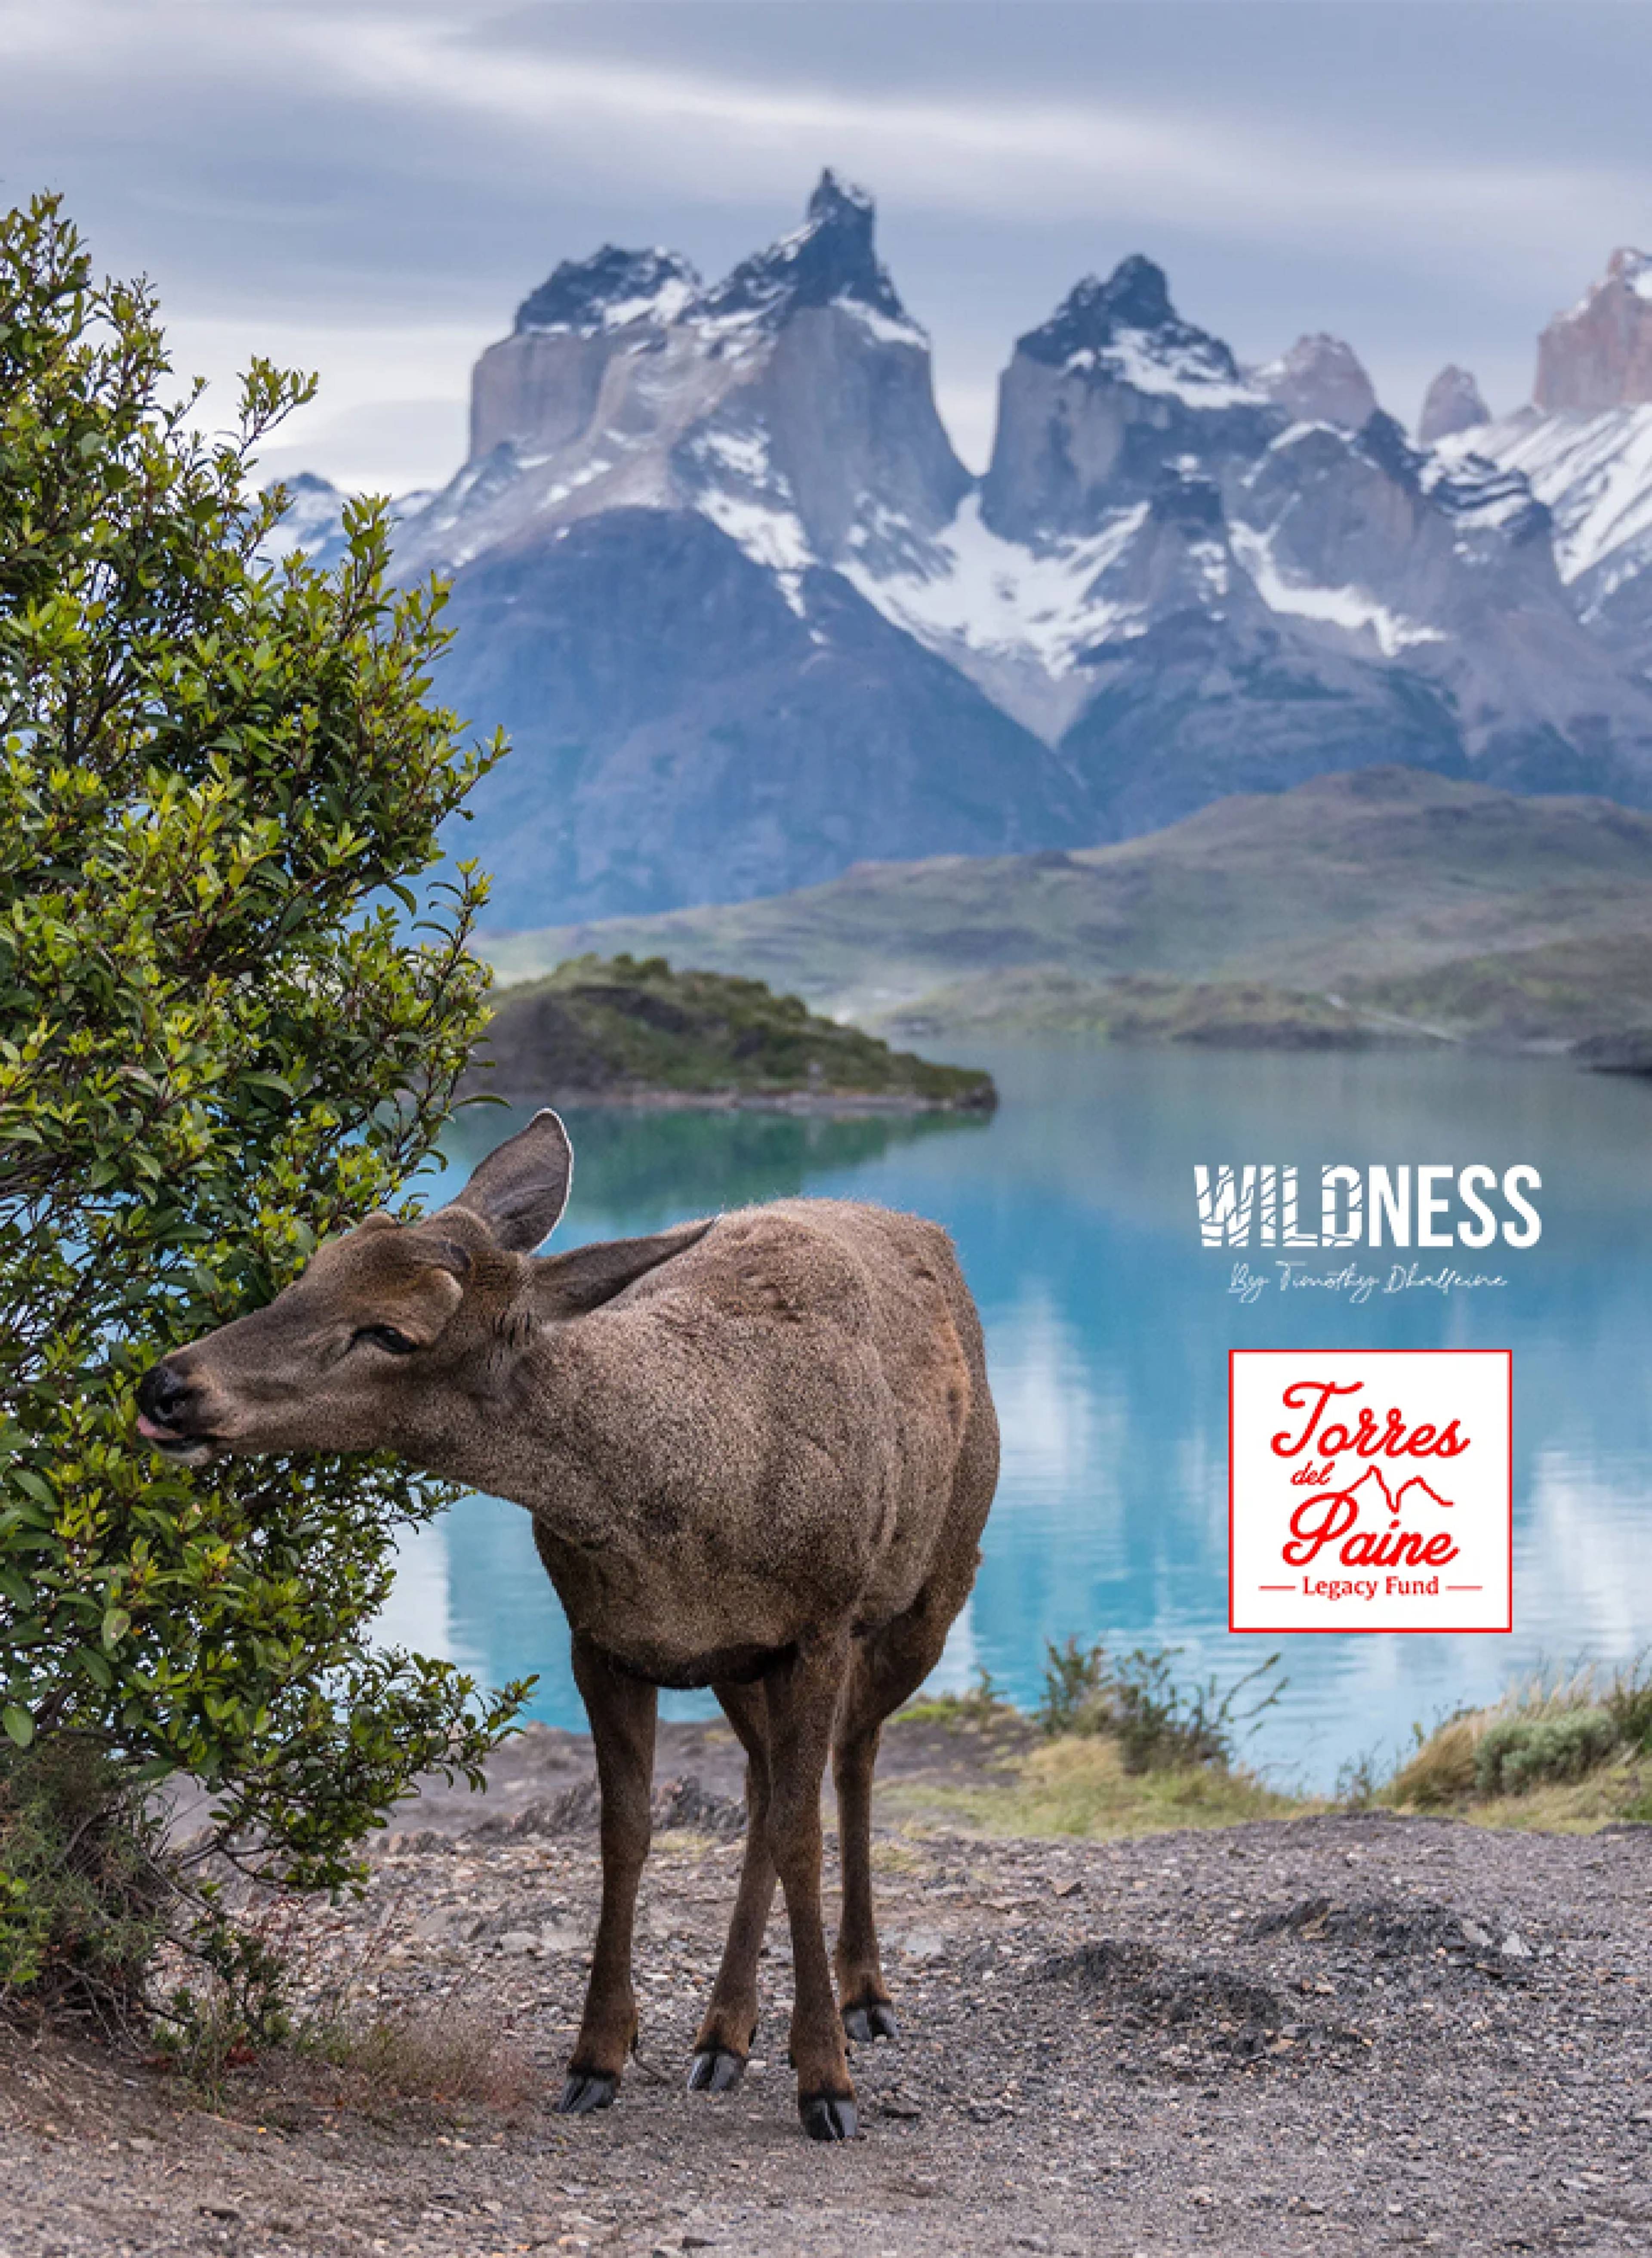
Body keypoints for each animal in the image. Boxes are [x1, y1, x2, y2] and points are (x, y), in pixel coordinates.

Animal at [136, 1109, 999, 2142]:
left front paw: (826, 2081)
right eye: (312, 1266)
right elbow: (625, 1831)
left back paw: (865, 1995)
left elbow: (803, 1833)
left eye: (392, 1331)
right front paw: (597, 2057)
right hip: (738, 1665)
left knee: (854, 1756)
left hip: (932, 1584)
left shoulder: (820, 1623)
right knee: (763, 1784)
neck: (689, 1501)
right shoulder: (604, 1637)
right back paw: (724, 2032)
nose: (168, 1386)